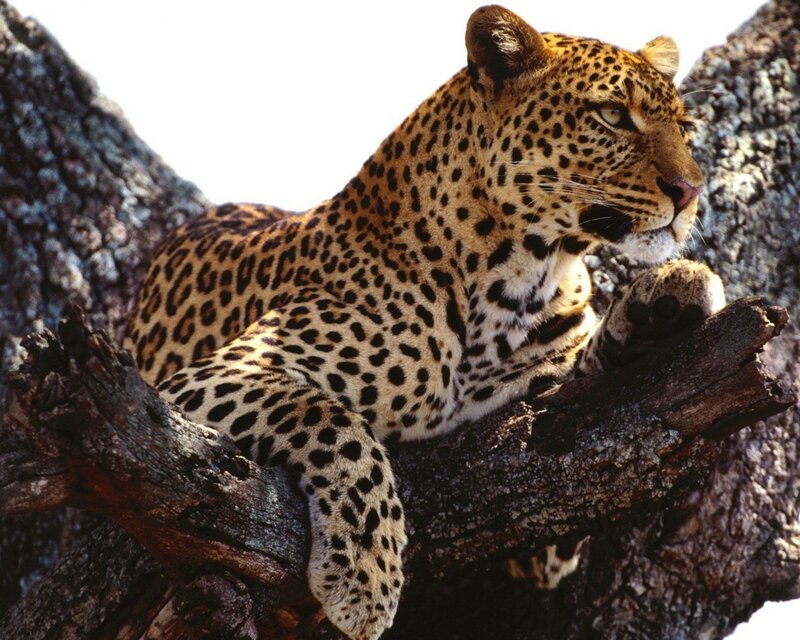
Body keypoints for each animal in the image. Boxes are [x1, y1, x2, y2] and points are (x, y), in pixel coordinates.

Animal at [124, 6, 726, 639]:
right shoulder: (207, 380)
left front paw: (661, 308)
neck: (518, 277)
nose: (690, 191)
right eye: (612, 116)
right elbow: (334, 423)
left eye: (684, 128)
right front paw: (366, 573)